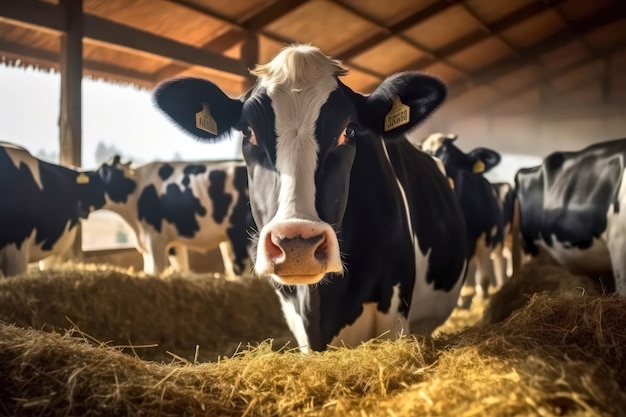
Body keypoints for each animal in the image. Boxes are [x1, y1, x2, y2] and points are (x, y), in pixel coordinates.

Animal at [92, 156, 251, 276]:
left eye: (102, 171)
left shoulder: (155, 239)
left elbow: (155, 269)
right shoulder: (172, 243)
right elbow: (179, 268)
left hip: (239, 236)